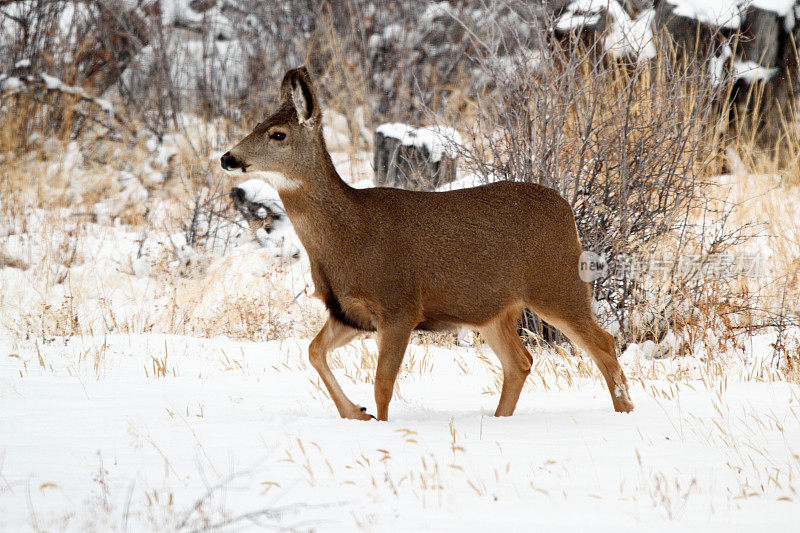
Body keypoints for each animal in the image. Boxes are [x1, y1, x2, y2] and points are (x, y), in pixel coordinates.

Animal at [222, 66, 636, 420]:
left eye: (278, 134)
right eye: (256, 125)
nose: (228, 157)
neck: (346, 238)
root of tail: (566, 209)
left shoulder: (399, 304)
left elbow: (382, 384)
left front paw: (378, 423)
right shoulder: (350, 312)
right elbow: (314, 352)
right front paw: (355, 413)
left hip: (557, 285)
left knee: (603, 343)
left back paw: (624, 413)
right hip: (493, 309)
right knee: (520, 361)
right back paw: (500, 419)